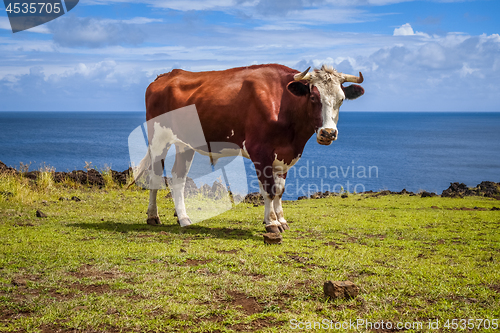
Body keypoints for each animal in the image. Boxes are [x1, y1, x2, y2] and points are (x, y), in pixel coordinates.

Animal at [135, 63, 366, 232]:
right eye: (313, 97)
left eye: (341, 100)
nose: (328, 133)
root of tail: (165, 76)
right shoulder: (260, 151)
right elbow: (269, 189)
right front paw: (272, 223)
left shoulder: (284, 155)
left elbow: (280, 190)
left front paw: (282, 221)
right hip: (158, 138)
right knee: (156, 174)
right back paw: (153, 216)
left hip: (185, 144)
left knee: (178, 178)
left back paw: (183, 218)